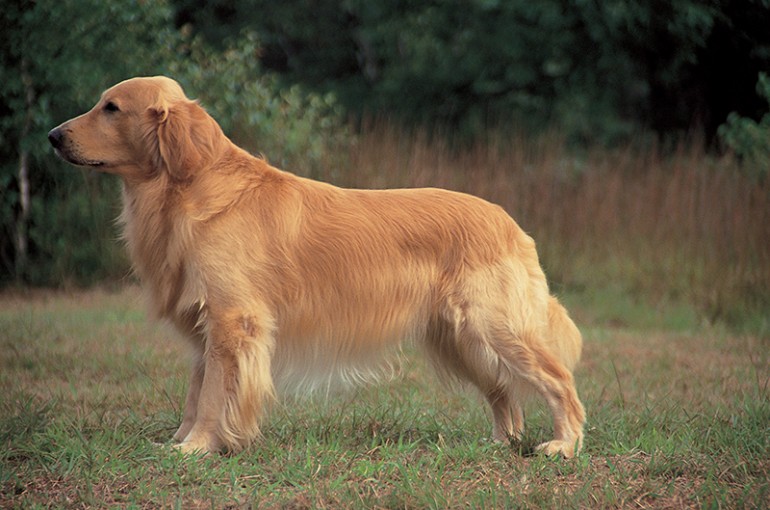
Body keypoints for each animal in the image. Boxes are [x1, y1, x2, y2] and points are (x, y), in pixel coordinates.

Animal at [48, 76, 584, 458]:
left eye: (111, 107)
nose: (52, 136)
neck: (188, 188)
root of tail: (513, 225)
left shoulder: (232, 320)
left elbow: (212, 395)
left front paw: (198, 446)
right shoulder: (209, 329)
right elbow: (196, 391)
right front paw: (180, 441)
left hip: (493, 326)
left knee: (559, 380)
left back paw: (563, 445)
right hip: (460, 339)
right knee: (503, 391)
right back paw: (501, 443)